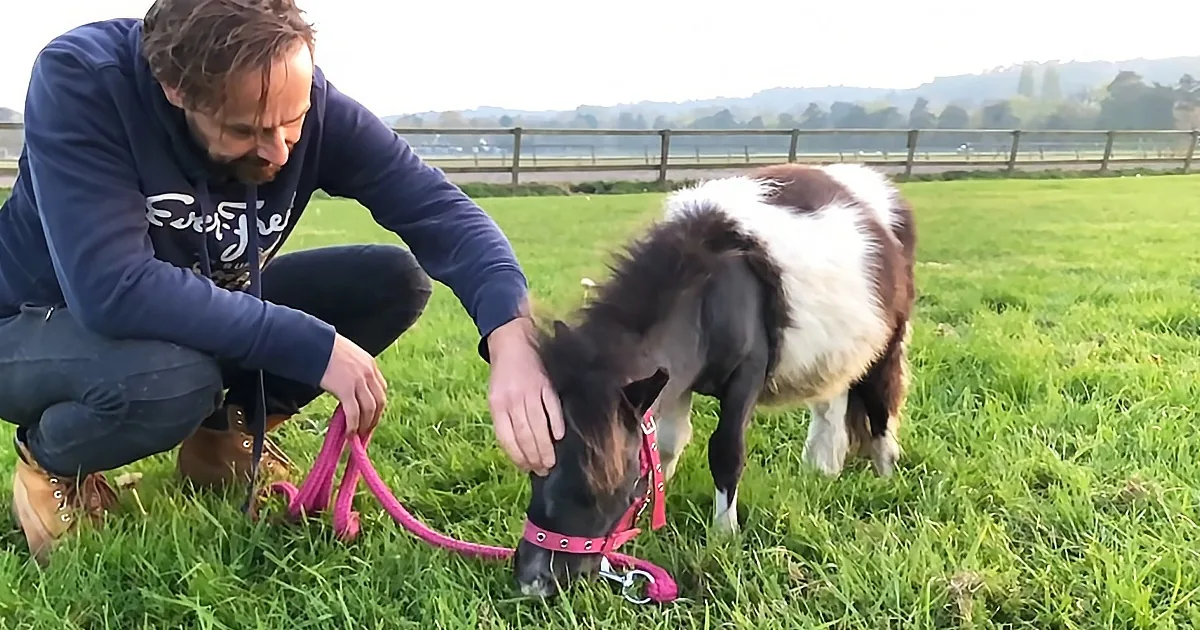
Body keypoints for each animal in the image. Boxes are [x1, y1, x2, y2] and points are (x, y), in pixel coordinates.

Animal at [511, 162, 917, 598]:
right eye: (535, 471)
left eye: (599, 485)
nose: (533, 581)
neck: (709, 298)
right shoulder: (674, 383)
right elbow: (667, 445)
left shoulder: (746, 377)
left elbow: (726, 450)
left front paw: (725, 532)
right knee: (832, 404)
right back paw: (822, 468)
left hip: (887, 343)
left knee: (879, 405)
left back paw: (884, 474)